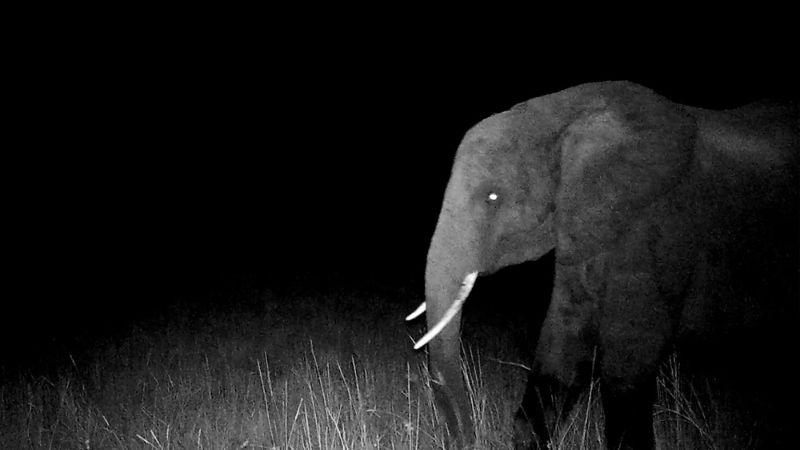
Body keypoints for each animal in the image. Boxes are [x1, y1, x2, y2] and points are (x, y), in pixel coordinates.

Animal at [407, 81, 798, 449]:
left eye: (492, 197)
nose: (468, 437)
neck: (564, 114)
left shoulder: (659, 222)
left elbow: (629, 357)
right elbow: (564, 341)